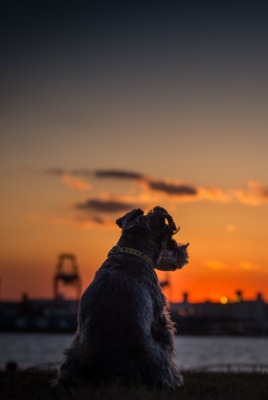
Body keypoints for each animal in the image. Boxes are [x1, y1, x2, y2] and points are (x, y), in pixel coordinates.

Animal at [54, 205, 188, 392]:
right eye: (169, 235)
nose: (183, 252)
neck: (130, 253)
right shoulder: (160, 318)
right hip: (157, 355)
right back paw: (173, 382)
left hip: (72, 355)